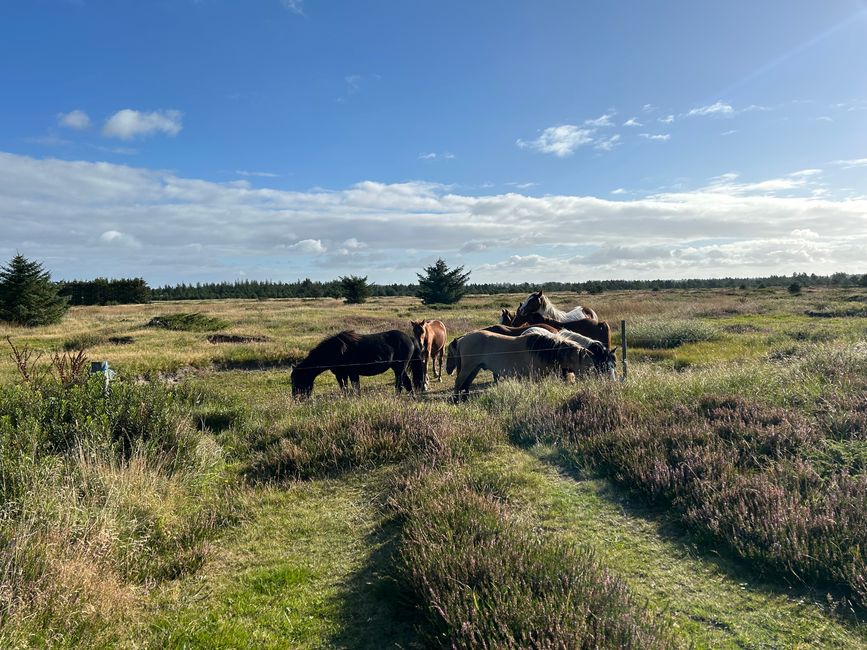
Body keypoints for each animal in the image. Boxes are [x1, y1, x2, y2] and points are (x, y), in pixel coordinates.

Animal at [294, 326, 426, 398]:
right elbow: (344, 388)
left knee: (399, 384)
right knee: (407, 382)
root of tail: (410, 338)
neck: (336, 351)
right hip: (398, 368)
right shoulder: (341, 375)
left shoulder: (353, 373)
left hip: (399, 368)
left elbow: (356, 389)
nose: (296, 398)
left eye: (298, 379)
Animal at [450, 326, 592, 398]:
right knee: (459, 382)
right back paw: (456, 400)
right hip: (468, 367)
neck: (540, 350)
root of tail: (463, 338)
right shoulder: (535, 376)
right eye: (585, 363)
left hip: (475, 368)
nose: (587, 379)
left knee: (466, 383)